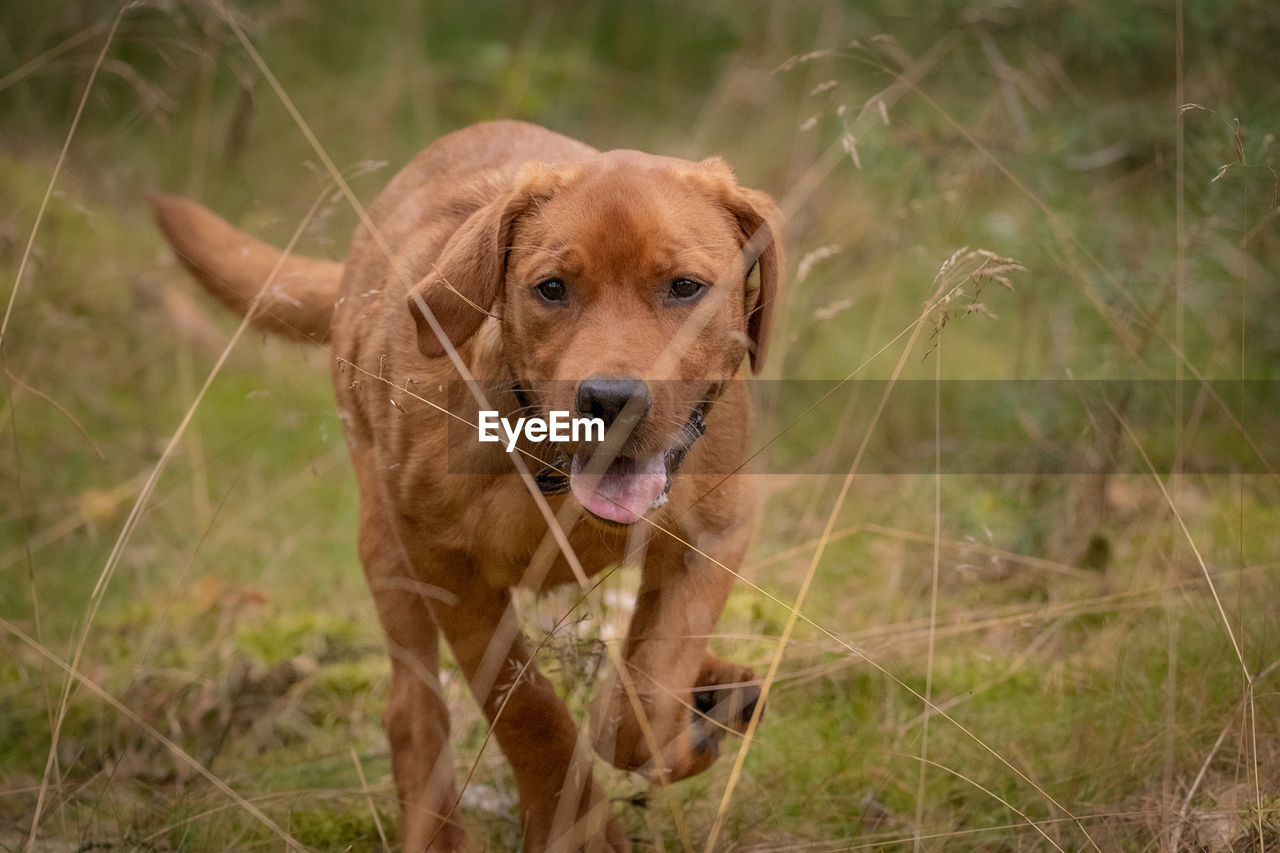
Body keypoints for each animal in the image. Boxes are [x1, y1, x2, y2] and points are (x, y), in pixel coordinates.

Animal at [149, 121, 778, 850]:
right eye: (551, 288)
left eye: (685, 287)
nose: (611, 400)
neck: (545, 468)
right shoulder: (446, 566)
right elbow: (528, 708)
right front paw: (576, 823)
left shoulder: (714, 532)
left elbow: (644, 694)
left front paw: (683, 718)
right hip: (385, 547)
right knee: (411, 714)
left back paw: (715, 691)